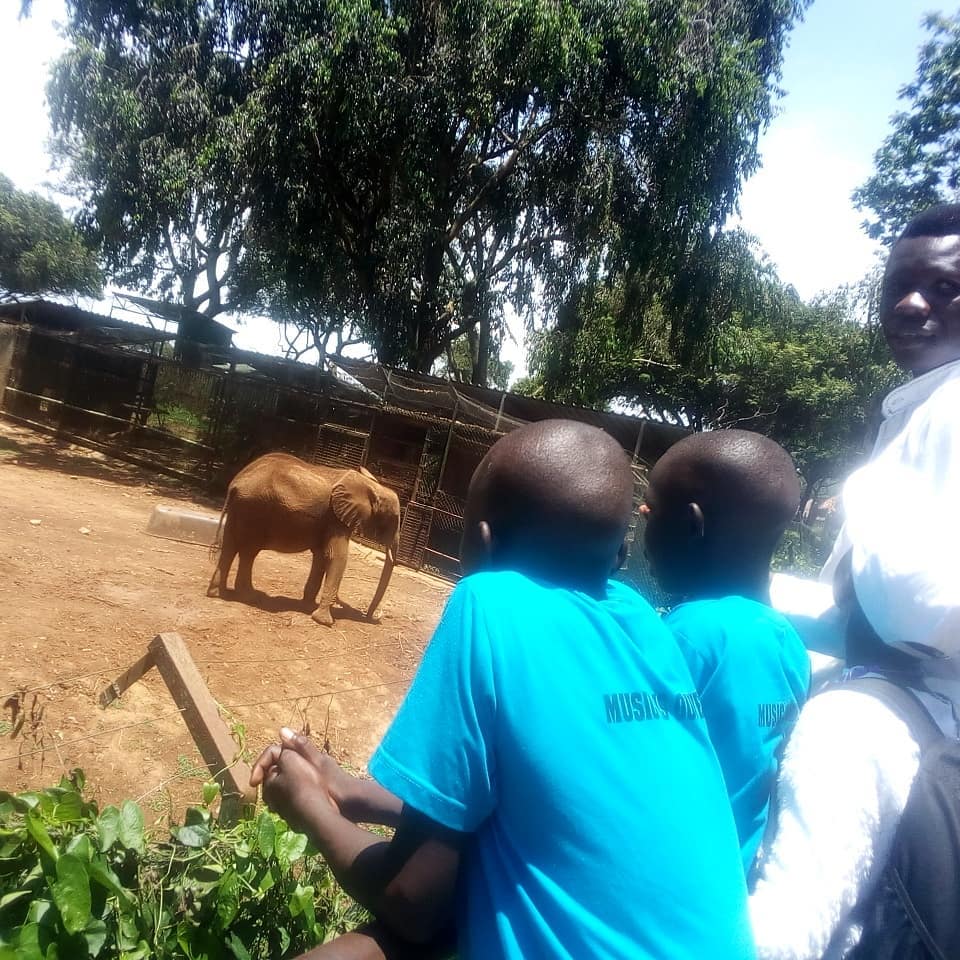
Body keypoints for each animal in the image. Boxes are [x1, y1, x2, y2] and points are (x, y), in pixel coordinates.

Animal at [206, 452, 402, 628]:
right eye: (393, 518)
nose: (369, 616)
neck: (371, 484)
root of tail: (235, 484)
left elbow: (322, 556)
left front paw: (307, 607)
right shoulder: (336, 519)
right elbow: (336, 556)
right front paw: (324, 622)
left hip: (240, 509)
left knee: (230, 546)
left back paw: (217, 593)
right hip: (255, 508)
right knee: (248, 551)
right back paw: (249, 596)